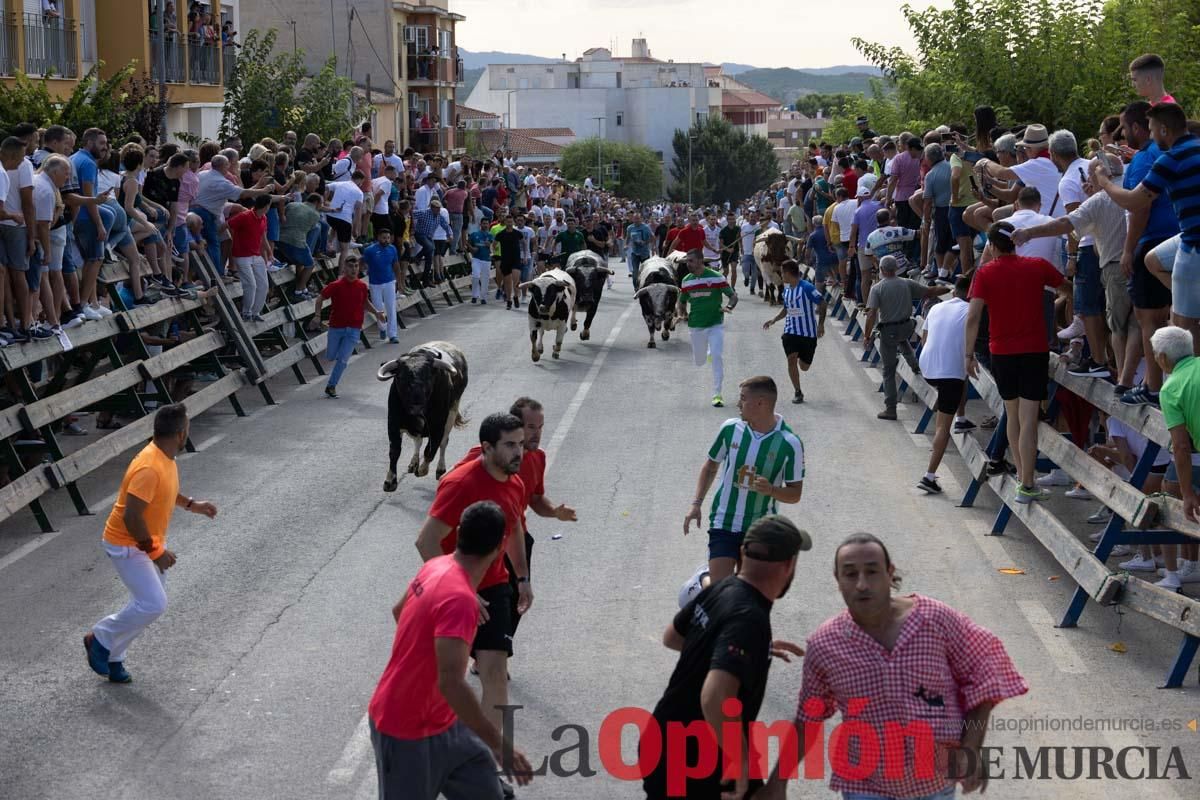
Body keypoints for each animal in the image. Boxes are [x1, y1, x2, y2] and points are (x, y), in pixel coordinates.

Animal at [376, 343, 465, 491]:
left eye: (428, 377)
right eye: (401, 377)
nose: (416, 405)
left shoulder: (438, 426)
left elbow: (430, 450)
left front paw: (423, 470)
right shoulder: (393, 424)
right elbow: (394, 451)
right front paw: (390, 481)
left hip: (452, 413)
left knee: (443, 442)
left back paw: (440, 470)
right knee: (418, 441)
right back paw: (413, 463)